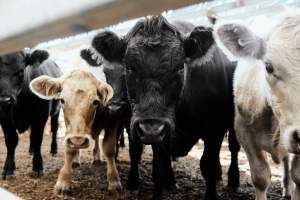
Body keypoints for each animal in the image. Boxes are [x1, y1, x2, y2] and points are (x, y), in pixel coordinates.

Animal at [0, 49, 61, 179]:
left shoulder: (41, 116)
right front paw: (9, 169)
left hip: (57, 109)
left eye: (20, 72)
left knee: (54, 128)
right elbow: (11, 140)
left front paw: (38, 166)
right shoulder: (4, 117)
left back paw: (53, 150)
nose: (5, 100)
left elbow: (37, 138)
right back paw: (31, 149)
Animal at [81, 16, 239, 200]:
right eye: (129, 67)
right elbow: (157, 168)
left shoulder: (214, 131)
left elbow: (209, 167)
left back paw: (233, 180)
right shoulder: (149, 131)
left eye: (180, 67)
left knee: (234, 148)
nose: (115, 107)